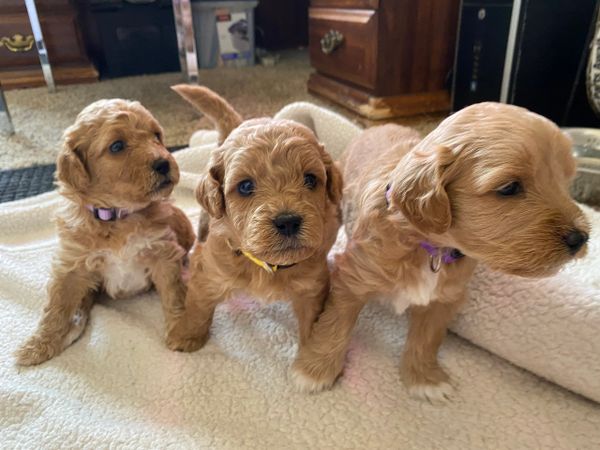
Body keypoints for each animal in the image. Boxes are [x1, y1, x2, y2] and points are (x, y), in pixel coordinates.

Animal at [15, 98, 195, 366]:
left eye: (156, 135)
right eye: (117, 146)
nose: (164, 163)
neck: (117, 217)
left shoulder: (163, 251)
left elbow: (174, 294)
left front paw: (183, 333)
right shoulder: (71, 265)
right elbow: (56, 306)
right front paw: (38, 345)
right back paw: (75, 322)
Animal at [166, 85, 342, 366]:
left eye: (311, 179)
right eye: (245, 186)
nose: (288, 221)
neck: (266, 265)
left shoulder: (313, 285)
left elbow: (313, 322)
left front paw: (312, 357)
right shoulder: (209, 272)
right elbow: (197, 305)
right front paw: (186, 336)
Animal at [292, 101, 592, 400]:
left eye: (565, 181)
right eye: (509, 187)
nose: (580, 238)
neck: (431, 247)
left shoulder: (445, 298)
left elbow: (427, 338)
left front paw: (424, 380)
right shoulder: (353, 277)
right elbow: (335, 325)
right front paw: (315, 371)